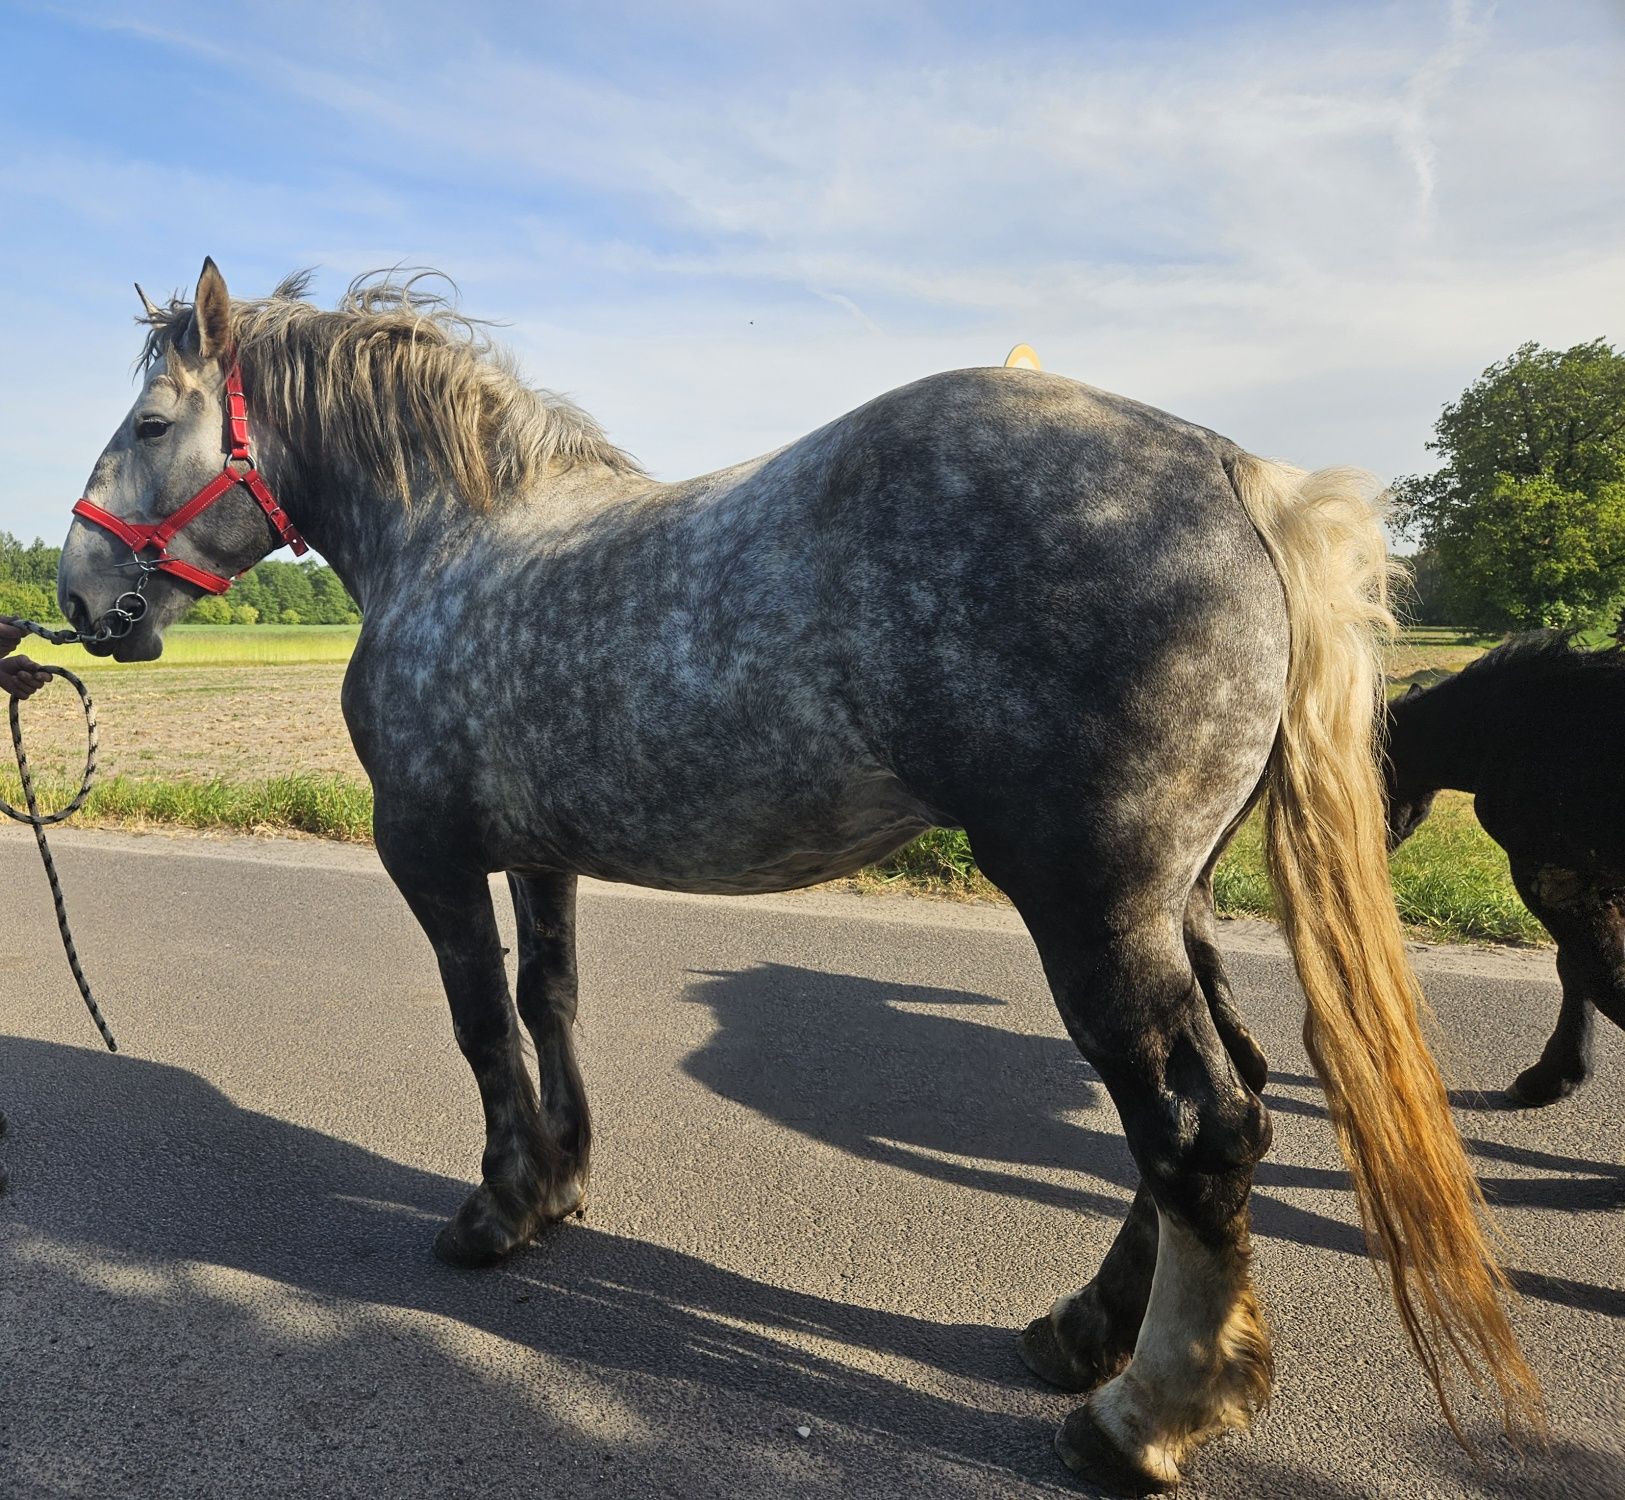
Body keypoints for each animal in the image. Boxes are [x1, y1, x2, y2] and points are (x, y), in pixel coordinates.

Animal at [54, 258, 1534, 1488]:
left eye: (150, 426)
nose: (74, 597)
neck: (456, 541)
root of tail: (1238, 473)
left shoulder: (427, 853)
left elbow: (481, 1028)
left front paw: (495, 1211)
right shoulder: (535, 858)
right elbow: (549, 1003)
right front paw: (561, 1186)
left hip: (1094, 911)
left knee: (1196, 1128)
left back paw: (1139, 1418)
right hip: (1173, 905)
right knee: (1220, 1107)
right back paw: (1083, 1338)